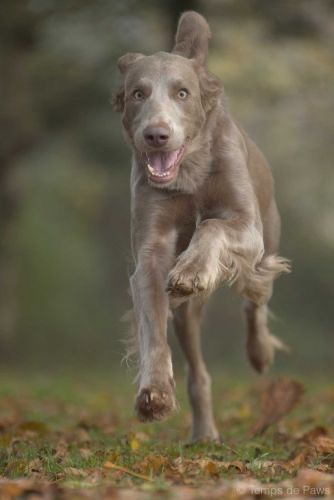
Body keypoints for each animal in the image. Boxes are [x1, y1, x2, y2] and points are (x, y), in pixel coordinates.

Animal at [113, 10, 290, 442]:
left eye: (182, 93)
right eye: (138, 93)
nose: (156, 135)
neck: (189, 171)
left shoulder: (246, 225)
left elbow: (211, 226)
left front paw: (192, 270)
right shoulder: (151, 254)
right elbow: (152, 325)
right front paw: (155, 394)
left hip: (266, 245)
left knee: (255, 300)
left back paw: (259, 352)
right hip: (187, 317)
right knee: (198, 369)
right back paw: (204, 432)